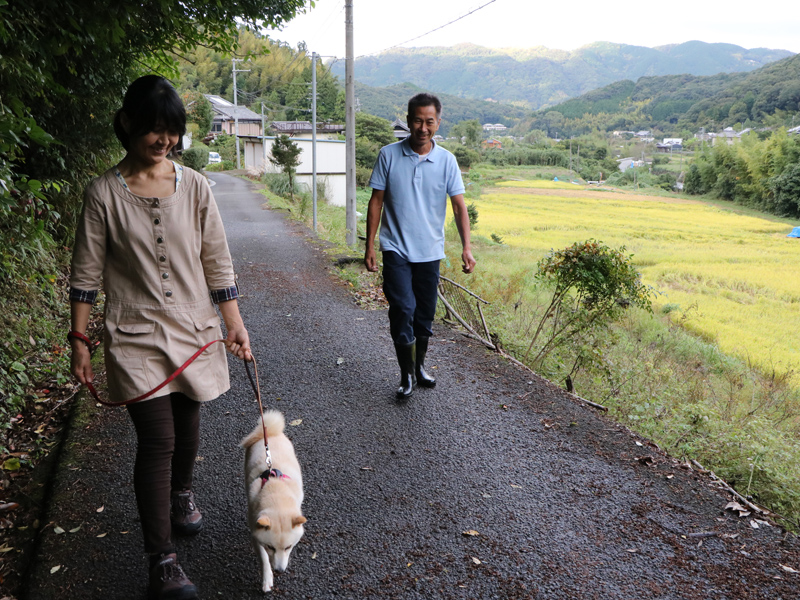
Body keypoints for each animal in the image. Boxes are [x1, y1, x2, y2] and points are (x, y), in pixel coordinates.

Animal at [239, 410, 304, 592]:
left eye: (288, 547)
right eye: (271, 547)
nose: (280, 570)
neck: (276, 491)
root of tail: (269, 432)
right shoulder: (256, 534)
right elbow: (264, 560)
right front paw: (267, 578)